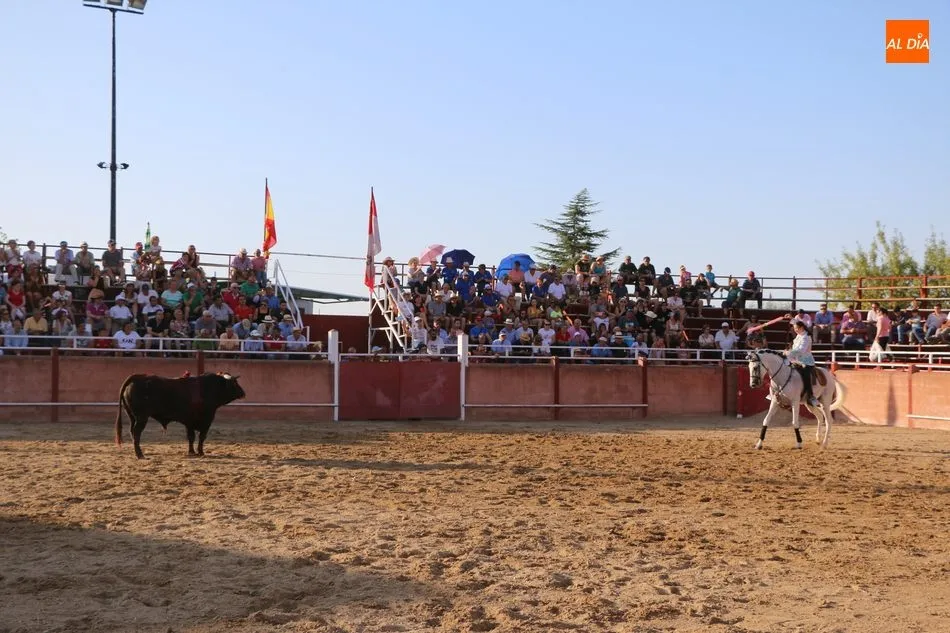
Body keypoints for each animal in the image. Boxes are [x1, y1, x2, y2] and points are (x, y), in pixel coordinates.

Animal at [114, 371, 246, 459]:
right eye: (235, 383)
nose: (243, 393)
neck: (209, 388)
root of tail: (137, 378)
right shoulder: (207, 420)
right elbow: (201, 437)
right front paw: (201, 452)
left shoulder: (189, 422)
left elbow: (191, 437)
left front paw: (192, 452)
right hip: (142, 417)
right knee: (137, 433)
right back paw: (140, 455)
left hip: (132, 417)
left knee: (132, 432)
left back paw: (137, 452)